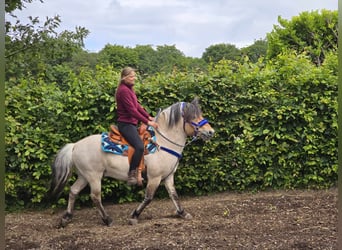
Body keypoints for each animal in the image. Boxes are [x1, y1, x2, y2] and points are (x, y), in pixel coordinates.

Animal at [48, 97, 214, 227]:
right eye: (193, 117)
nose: (211, 131)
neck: (162, 143)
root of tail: (75, 145)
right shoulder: (155, 178)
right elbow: (148, 198)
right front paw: (134, 216)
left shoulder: (168, 177)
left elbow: (174, 195)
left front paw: (182, 213)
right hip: (94, 176)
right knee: (95, 197)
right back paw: (107, 219)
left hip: (84, 176)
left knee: (73, 191)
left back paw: (66, 218)